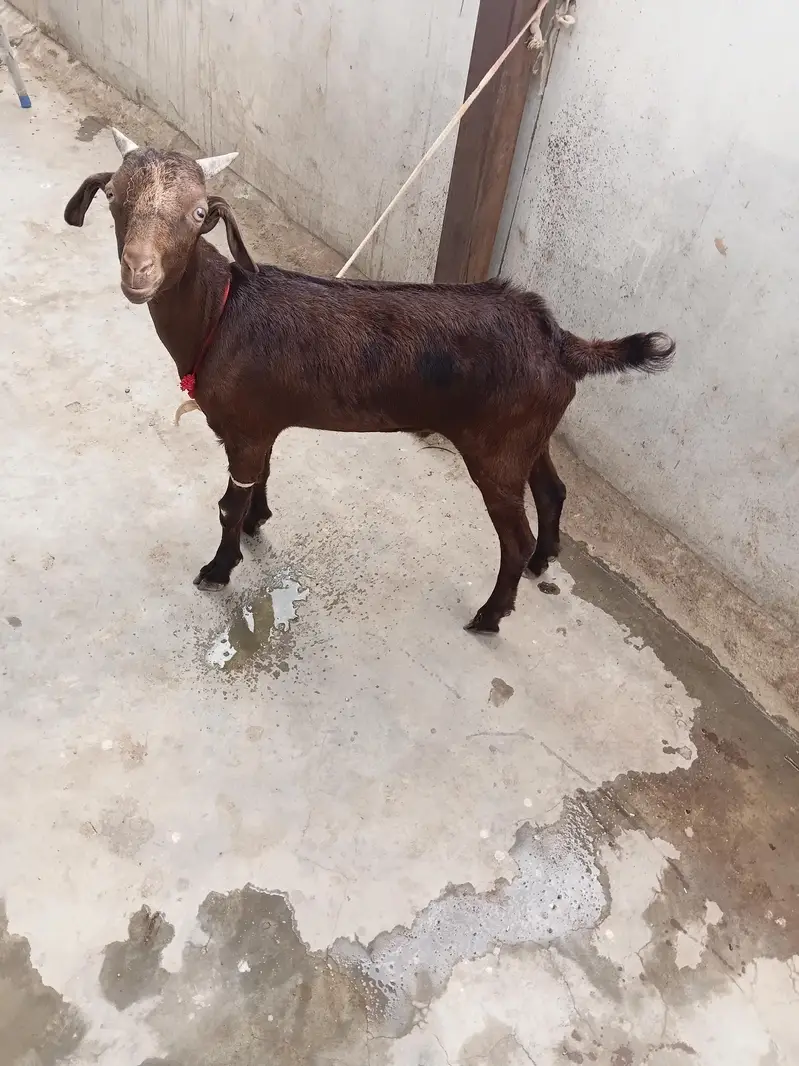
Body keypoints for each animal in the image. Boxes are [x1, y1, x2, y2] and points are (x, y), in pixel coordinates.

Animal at [64, 131, 674, 634]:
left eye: (197, 214)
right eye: (113, 196)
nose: (138, 270)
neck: (222, 310)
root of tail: (561, 341)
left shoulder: (243, 427)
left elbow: (227, 504)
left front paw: (219, 568)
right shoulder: (262, 424)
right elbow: (261, 478)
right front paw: (260, 522)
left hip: (495, 450)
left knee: (514, 538)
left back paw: (489, 615)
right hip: (528, 434)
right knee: (552, 491)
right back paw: (544, 560)